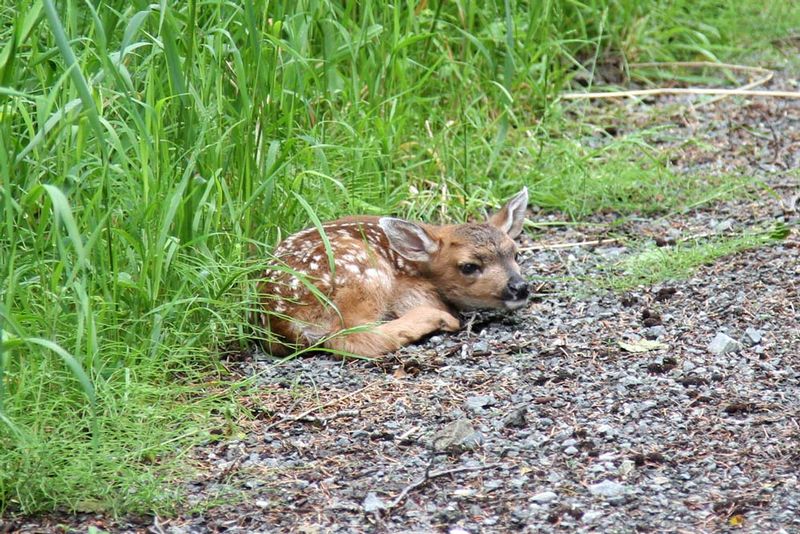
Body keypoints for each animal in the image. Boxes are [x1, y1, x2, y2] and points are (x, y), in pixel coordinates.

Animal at [256, 187, 530, 357]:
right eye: (469, 266)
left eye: (515, 254)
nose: (519, 287)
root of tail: (283, 321)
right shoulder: (407, 290)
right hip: (365, 272)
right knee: (350, 336)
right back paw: (439, 319)